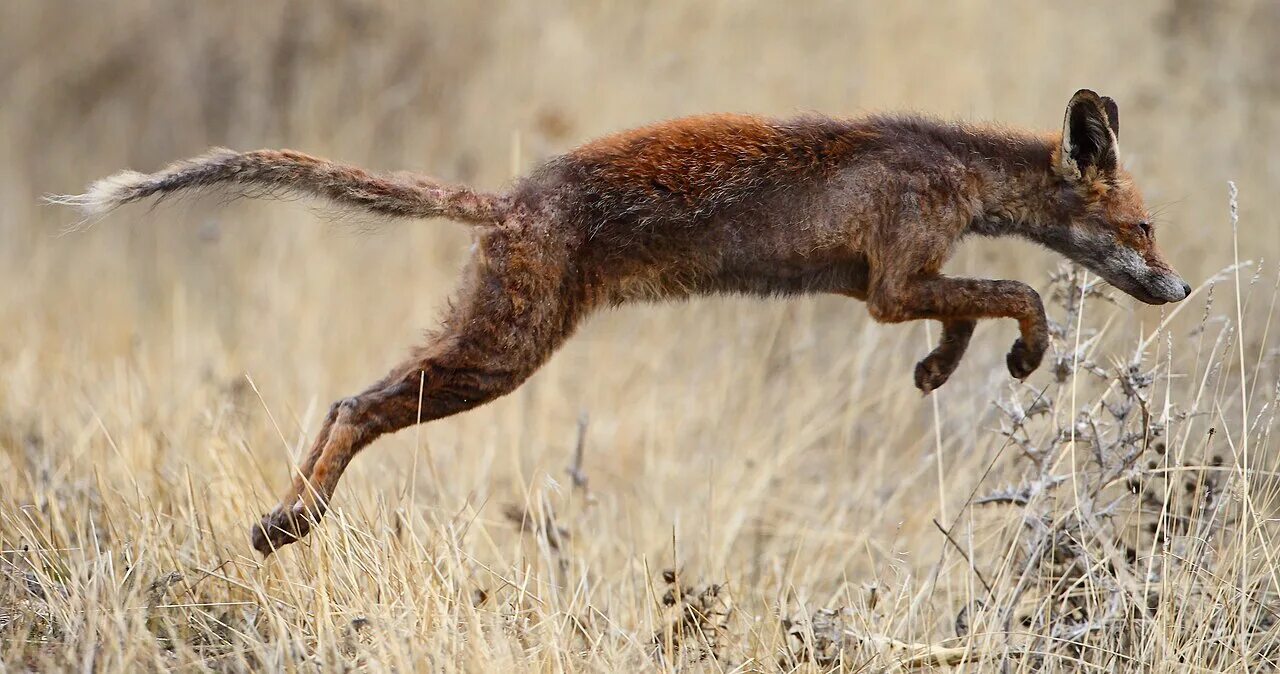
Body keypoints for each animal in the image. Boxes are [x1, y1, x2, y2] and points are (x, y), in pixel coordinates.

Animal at [52, 88, 1187, 555]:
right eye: (1142, 226)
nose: (1176, 290)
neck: (951, 170)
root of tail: (509, 199)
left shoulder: (896, 285)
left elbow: (967, 310)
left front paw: (940, 373)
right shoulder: (889, 282)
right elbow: (1019, 294)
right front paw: (1023, 350)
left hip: (492, 346)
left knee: (346, 402)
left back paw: (285, 518)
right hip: (499, 356)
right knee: (353, 405)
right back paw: (289, 523)